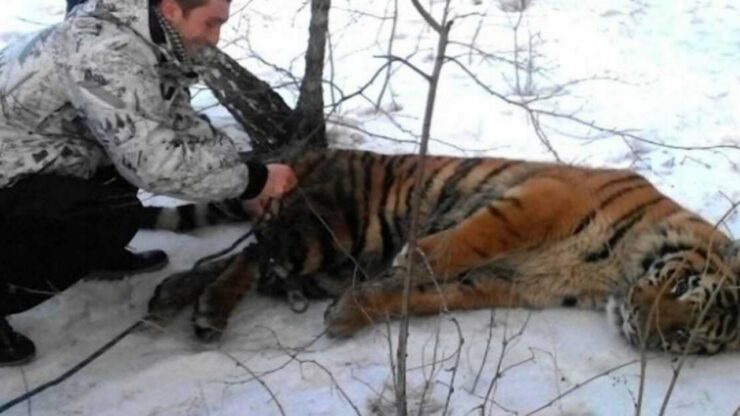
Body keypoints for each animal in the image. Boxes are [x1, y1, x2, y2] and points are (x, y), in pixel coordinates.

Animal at [147, 148, 736, 352]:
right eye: (683, 284)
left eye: (685, 337)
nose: (639, 325)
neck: (611, 276)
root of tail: (311, 152)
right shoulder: (547, 196)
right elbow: (475, 237)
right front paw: (417, 257)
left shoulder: (506, 282)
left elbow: (421, 297)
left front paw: (350, 315)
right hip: (328, 230)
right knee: (253, 254)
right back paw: (205, 309)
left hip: (334, 261)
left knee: (246, 259)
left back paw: (176, 298)